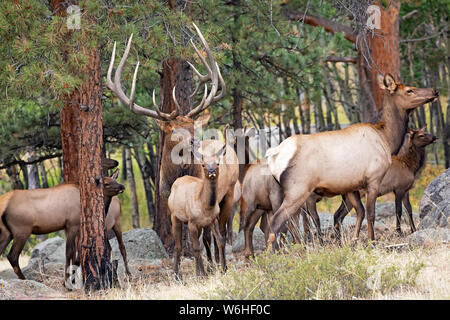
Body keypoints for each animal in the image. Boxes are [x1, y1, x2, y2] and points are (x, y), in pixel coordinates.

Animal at [266, 74, 438, 244]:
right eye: (409, 90)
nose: (434, 91)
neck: (387, 140)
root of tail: (274, 155)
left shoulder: (351, 186)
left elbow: (359, 212)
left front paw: (353, 241)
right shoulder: (374, 179)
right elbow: (370, 214)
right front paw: (372, 242)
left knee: (290, 221)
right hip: (298, 189)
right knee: (276, 221)